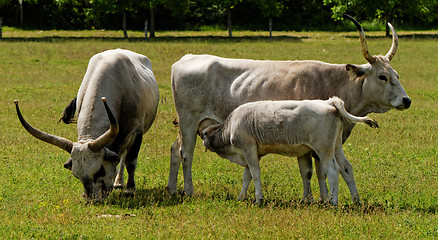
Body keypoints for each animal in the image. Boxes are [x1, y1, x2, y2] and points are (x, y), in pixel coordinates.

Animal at [14, 48, 160, 201]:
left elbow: (130, 162)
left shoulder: (136, 132)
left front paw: (130, 190)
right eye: (76, 175)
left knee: (124, 156)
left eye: (100, 170)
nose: (93, 200)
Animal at [200, 96, 378, 205]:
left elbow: (255, 174)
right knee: (346, 168)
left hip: (324, 149)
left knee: (333, 171)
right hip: (336, 146)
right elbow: (247, 176)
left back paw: (334, 202)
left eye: (204, 134)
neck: (230, 127)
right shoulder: (252, 153)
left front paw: (259, 199)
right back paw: (356, 200)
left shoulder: (248, 148)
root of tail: (329, 102)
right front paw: (241, 197)